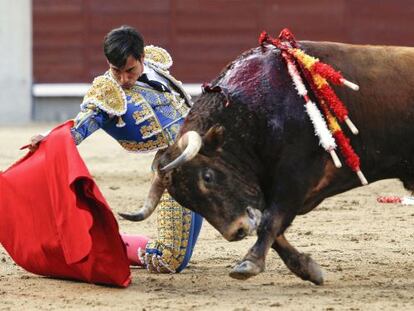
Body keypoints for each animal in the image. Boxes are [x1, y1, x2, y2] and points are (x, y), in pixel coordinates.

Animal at [119, 37, 414, 286]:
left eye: (207, 177)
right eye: (185, 201)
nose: (236, 231)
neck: (252, 115)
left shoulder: (294, 178)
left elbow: (270, 221)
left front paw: (248, 264)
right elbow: (274, 229)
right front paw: (309, 269)